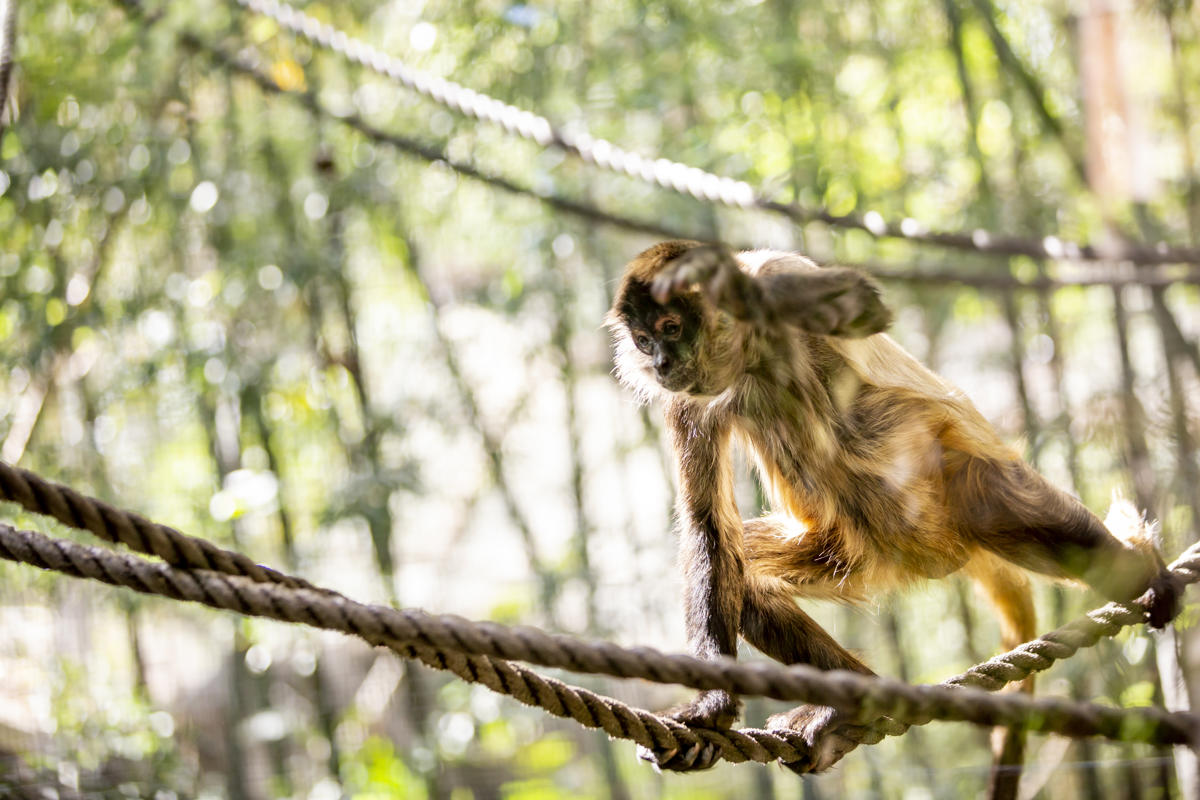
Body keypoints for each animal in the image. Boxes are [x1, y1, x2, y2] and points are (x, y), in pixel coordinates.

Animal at [606, 240, 1182, 773]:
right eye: (644, 340)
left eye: (671, 327)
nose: (659, 362)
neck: (752, 358)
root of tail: (935, 555)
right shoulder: (686, 399)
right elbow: (708, 527)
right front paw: (713, 706)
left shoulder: (777, 270)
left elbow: (860, 302)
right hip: (849, 551)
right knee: (745, 579)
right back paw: (853, 702)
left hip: (951, 486)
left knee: (1007, 508)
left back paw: (1143, 568)